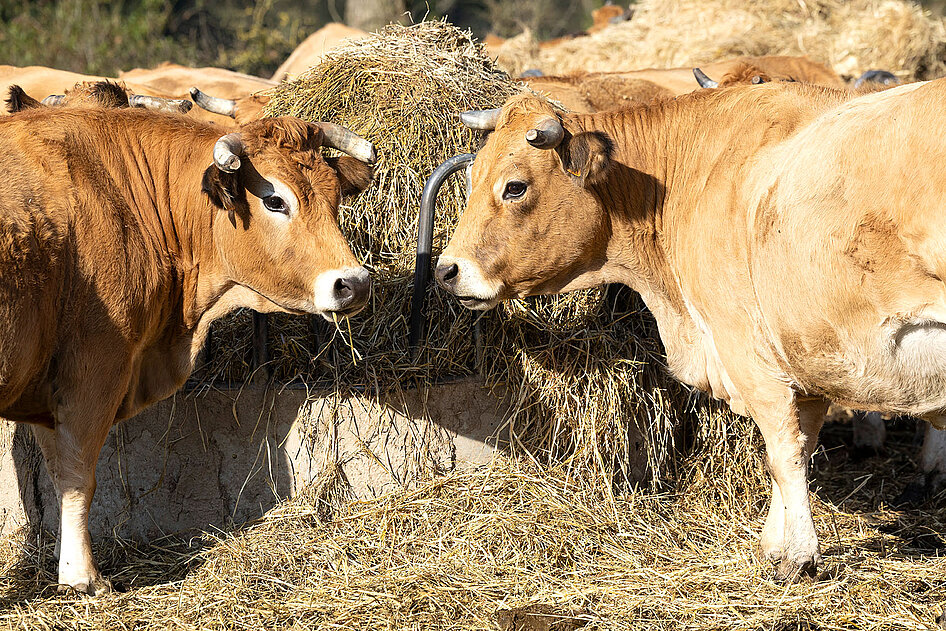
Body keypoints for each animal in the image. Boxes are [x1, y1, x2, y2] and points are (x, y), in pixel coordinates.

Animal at [0, 105, 376, 594]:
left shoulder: (48, 390)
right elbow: (77, 475)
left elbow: (58, 471)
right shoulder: (94, 370)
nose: (354, 283)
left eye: (334, 199)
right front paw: (83, 576)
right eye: (275, 201)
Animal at [435, 81, 946, 581]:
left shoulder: (748, 352)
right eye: (471, 177)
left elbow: (783, 454)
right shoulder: (808, 360)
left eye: (515, 187)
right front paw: (774, 542)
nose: (446, 270)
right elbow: (800, 448)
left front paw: (798, 555)